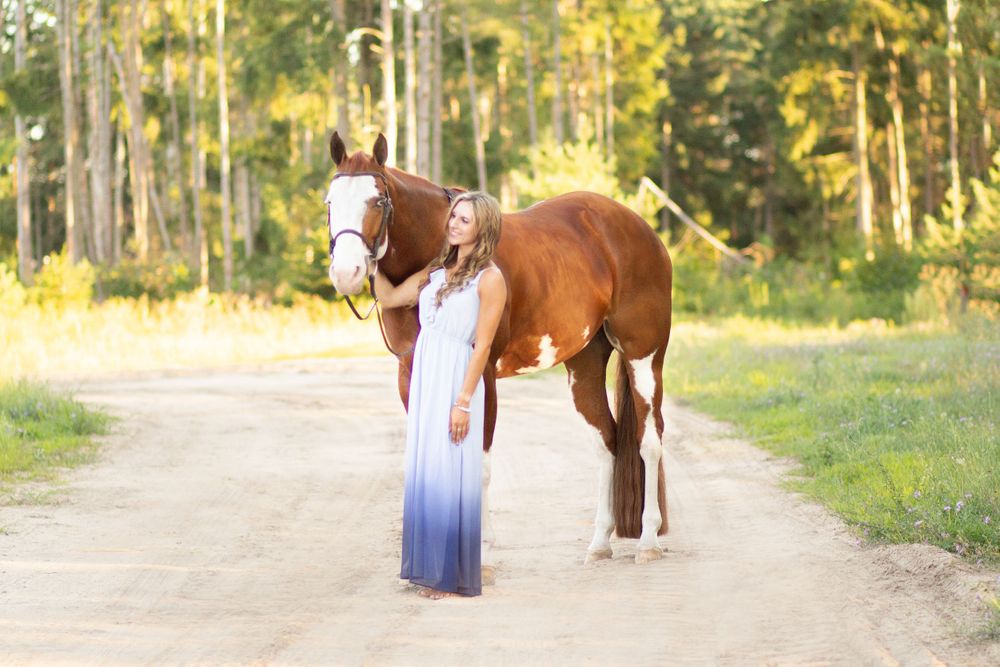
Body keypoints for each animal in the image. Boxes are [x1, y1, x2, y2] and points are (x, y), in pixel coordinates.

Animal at [325, 132, 673, 564]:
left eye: (377, 201)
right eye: (330, 202)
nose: (346, 272)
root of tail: (641, 229)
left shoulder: (483, 372)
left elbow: (482, 463)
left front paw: (482, 546)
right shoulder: (409, 374)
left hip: (644, 358)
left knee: (649, 440)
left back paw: (648, 540)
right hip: (585, 367)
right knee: (606, 441)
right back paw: (599, 543)